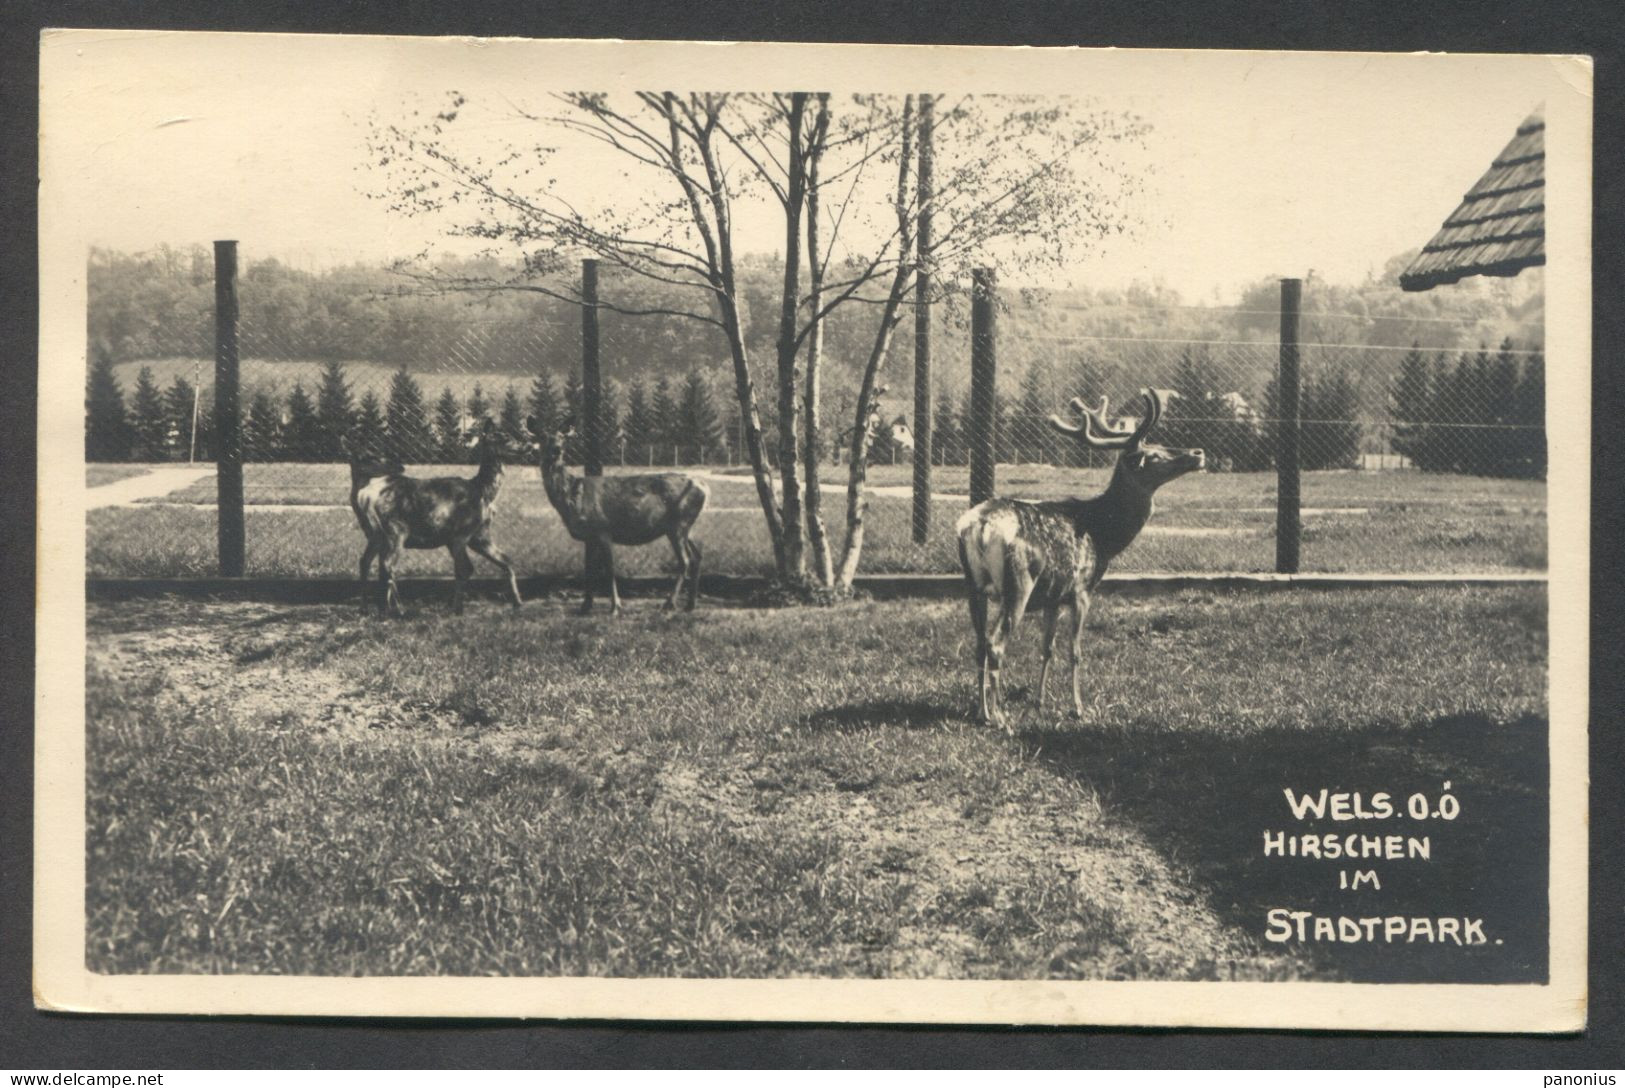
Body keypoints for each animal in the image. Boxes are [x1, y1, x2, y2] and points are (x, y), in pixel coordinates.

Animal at [346, 418, 523, 617]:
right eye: (503, 437)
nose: (524, 446)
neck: (482, 491)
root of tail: (365, 498)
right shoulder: (460, 534)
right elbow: (464, 570)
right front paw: (457, 609)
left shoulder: (479, 535)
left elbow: (505, 560)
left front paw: (517, 602)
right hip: (396, 531)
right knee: (387, 565)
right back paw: (396, 610)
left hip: (376, 535)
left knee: (367, 562)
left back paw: (370, 608)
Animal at [526, 415, 711, 613]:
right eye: (542, 437)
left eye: (562, 437)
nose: (556, 449)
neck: (573, 497)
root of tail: (704, 488)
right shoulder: (589, 537)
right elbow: (589, 570)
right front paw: (586, 605)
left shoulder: (603, 529)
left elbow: (610, 569)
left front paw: (616, 606)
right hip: (686, 525)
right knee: (697, 557)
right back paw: (690, 604)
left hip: (678, 523)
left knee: (685, 561)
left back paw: (669, 603)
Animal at [949, 389, 1209, 733]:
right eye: (1153, 454)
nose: (1198, 452)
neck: (1105, 535)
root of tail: (979, 527)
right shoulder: (1082, 588)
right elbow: (1075, 651)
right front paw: (1079, 708)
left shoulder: (1052, 596)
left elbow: (1047, 648)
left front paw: (1040, 701)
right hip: (1018, 583)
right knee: (996, 644)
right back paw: (1001, 717)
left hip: (972, 584)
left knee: (979, 644)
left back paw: (983, 712)